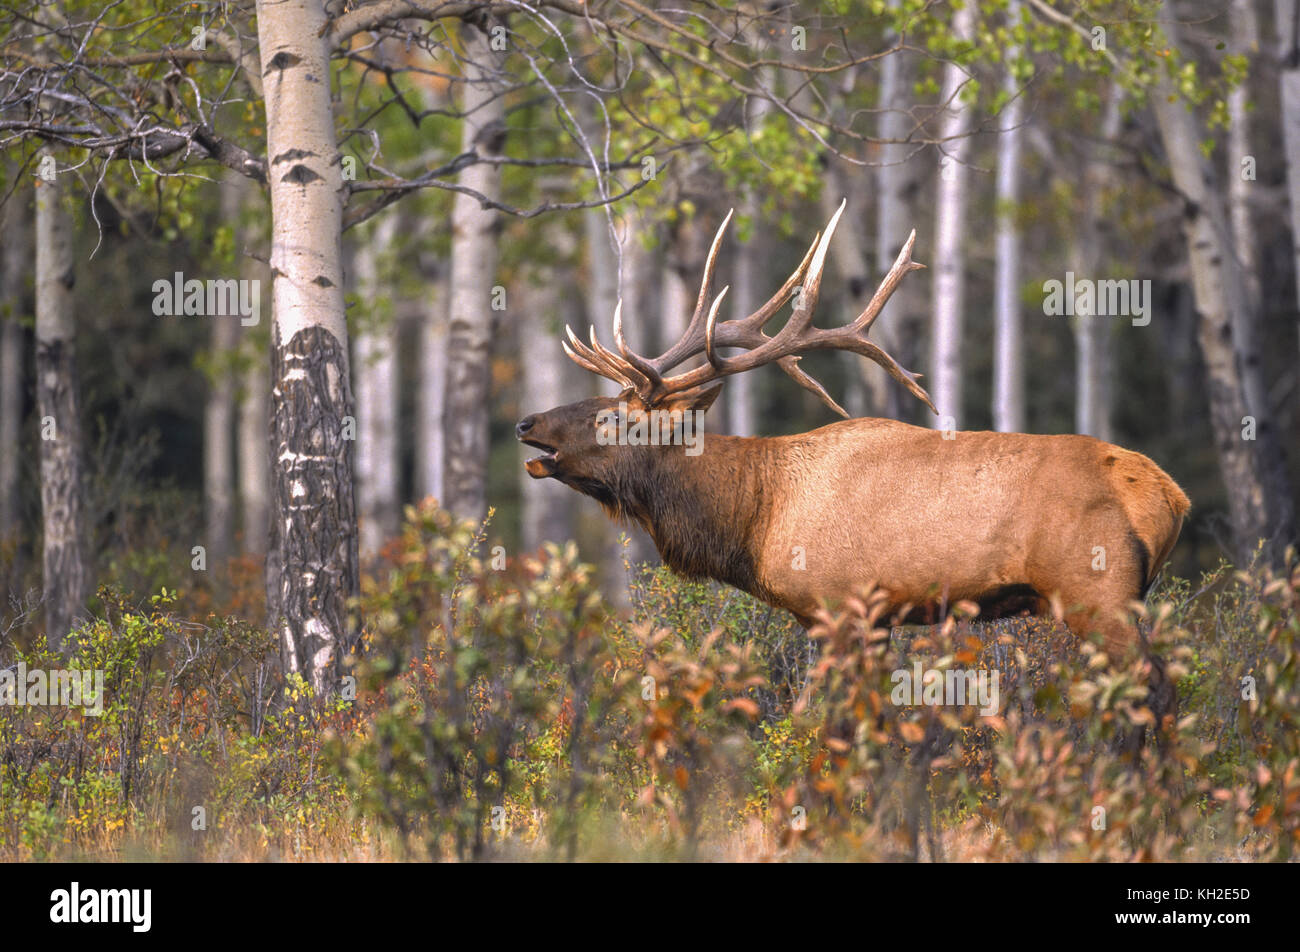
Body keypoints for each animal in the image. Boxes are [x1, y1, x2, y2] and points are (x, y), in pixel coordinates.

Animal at [514, 202, 1190, 712]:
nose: (526, 422)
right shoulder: (876, 619)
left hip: (1095, 590)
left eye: (610, 416)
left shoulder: (842, 605)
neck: (756, 517)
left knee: (1154, 687)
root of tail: (1171, 496)